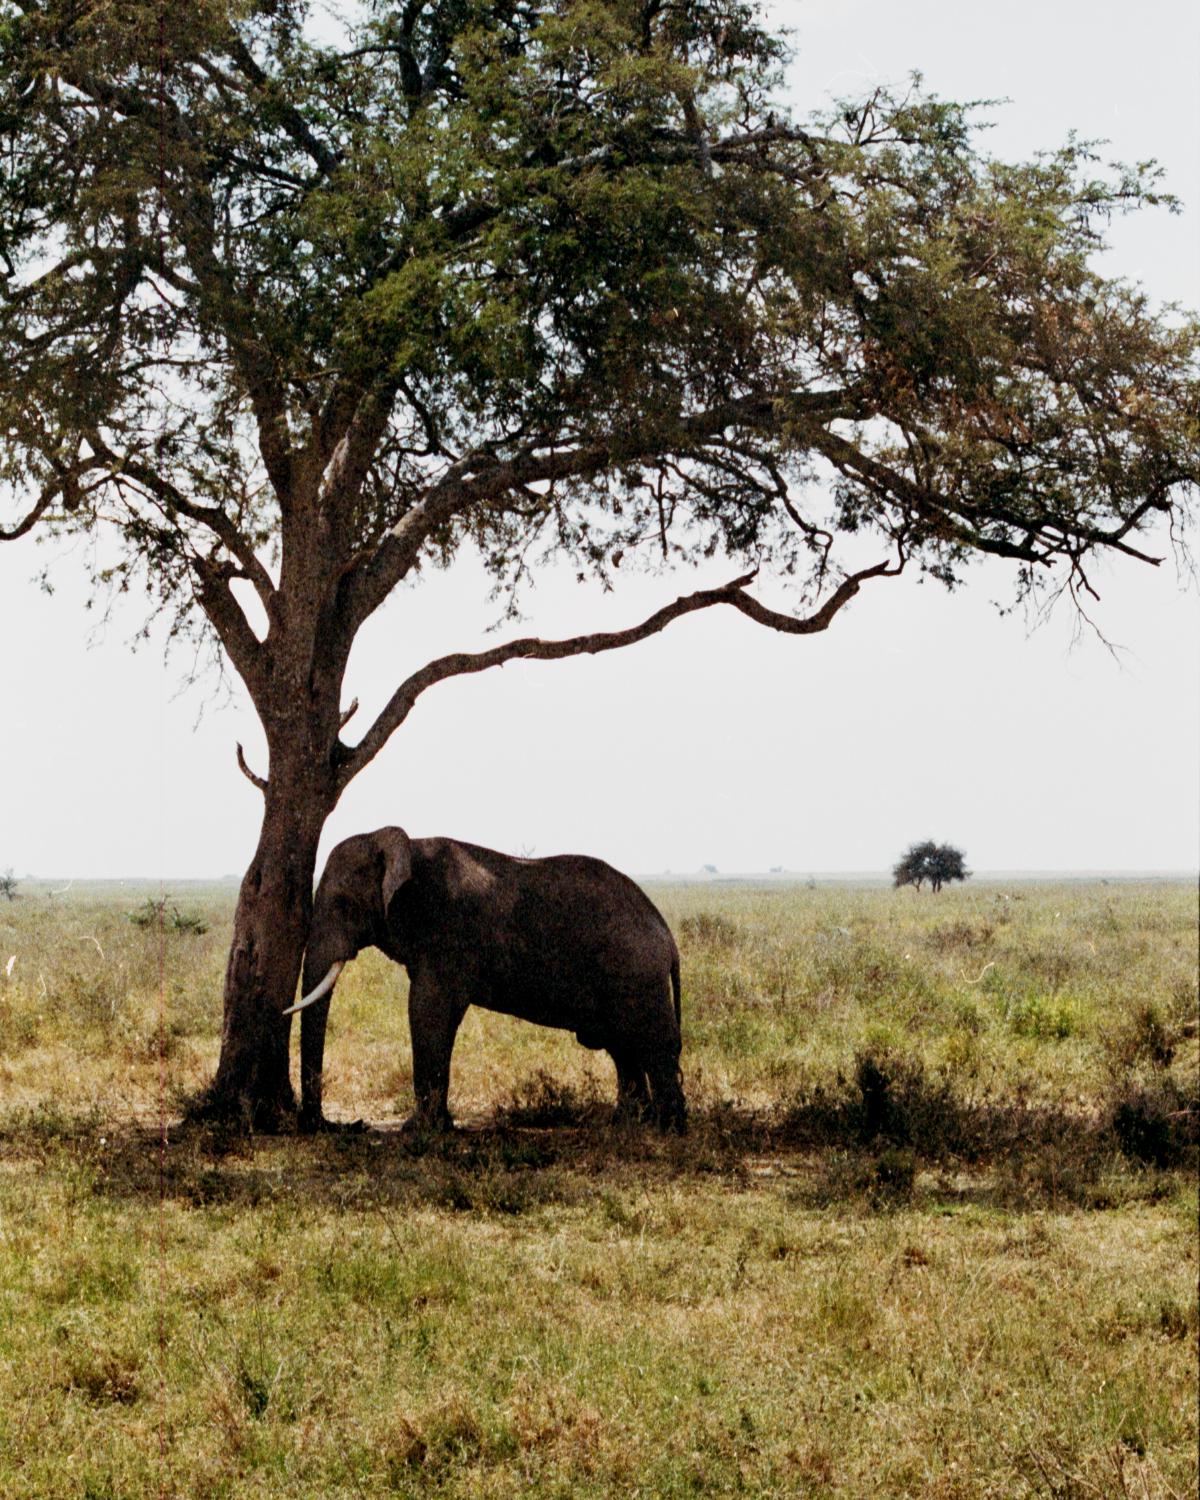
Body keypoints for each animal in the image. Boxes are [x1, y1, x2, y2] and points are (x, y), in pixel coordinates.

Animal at [284, 827, 686, 1133]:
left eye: (341, 903)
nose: (342, 1126)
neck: (403, 844)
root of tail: (667, 936)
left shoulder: (449, 933)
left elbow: (426, 1010)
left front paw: (419, 1130)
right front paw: (437, 1126)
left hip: (637, 974)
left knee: (653, 1044)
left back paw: (668, 1129)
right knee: (624, 1047)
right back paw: (628, 1125)